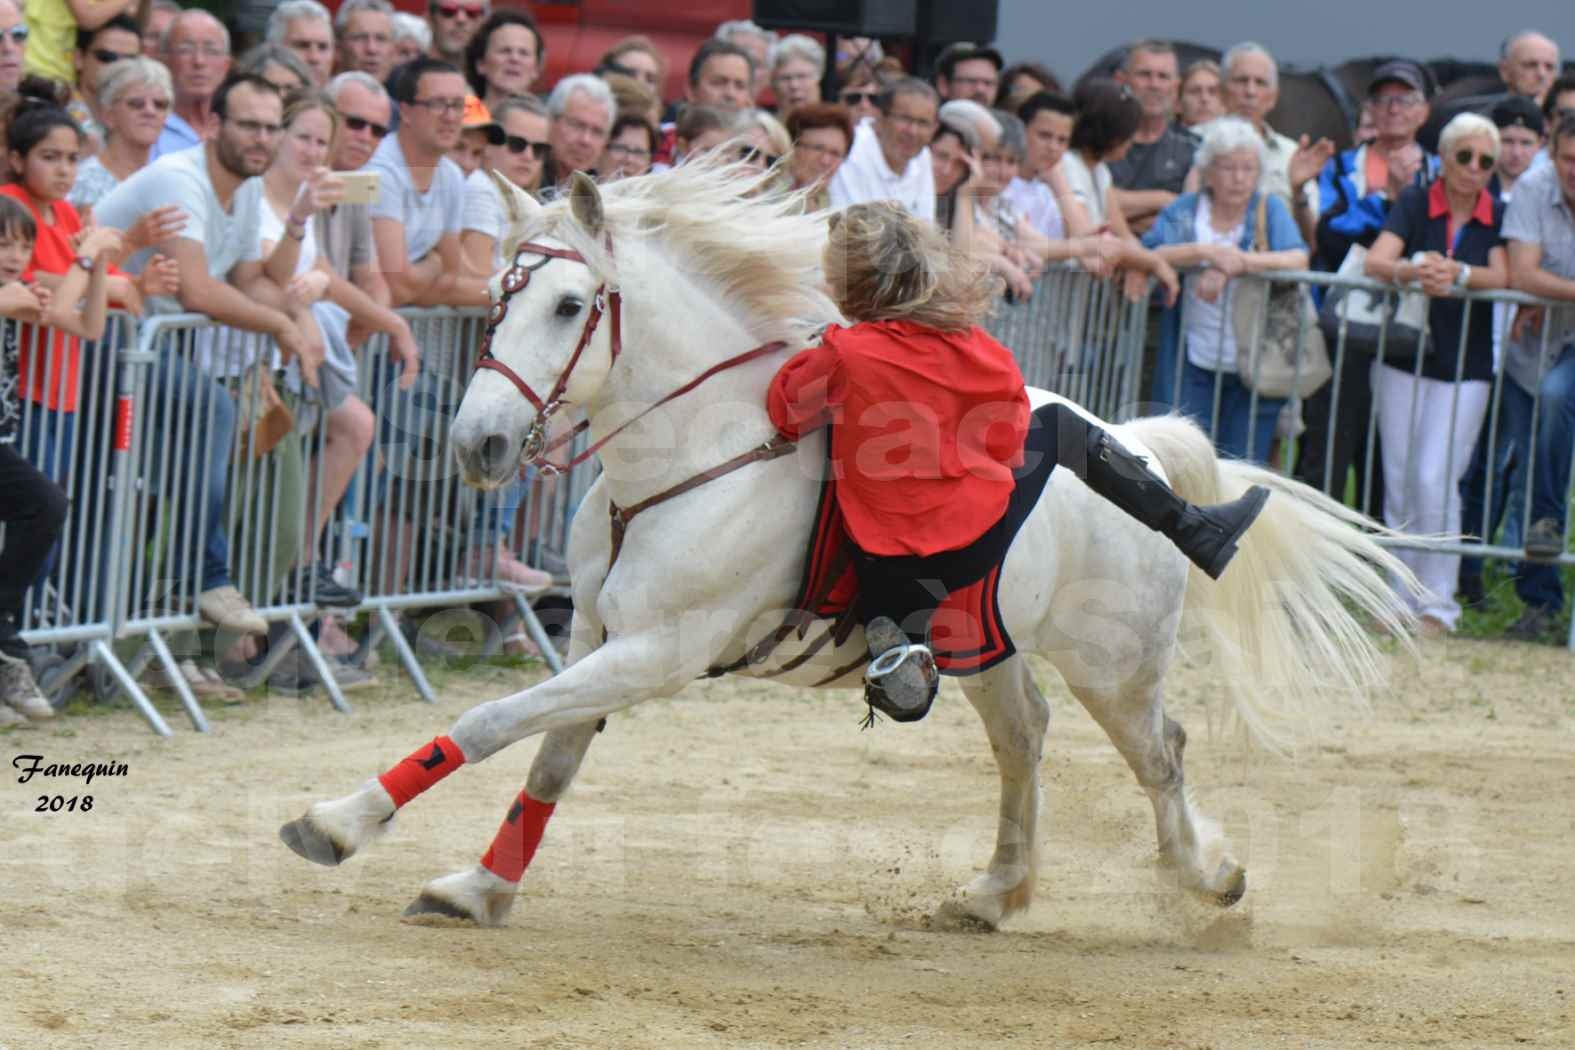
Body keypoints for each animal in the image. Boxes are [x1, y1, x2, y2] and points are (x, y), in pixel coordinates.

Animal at [277, 160, 1423, 931]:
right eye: (493, 300)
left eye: (568, 304)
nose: (477, 443)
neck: (697, 458)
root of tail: (1131, 442)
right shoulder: (602, 638)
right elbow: (550, 755)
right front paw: (481, 886)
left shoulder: (655, 654)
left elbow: (489, 721)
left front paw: (343, 821)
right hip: (985, 648)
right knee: (1025, 740)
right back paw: (996, 892)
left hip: (1115, 662)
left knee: (1159, 754)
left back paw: (1204, 875)